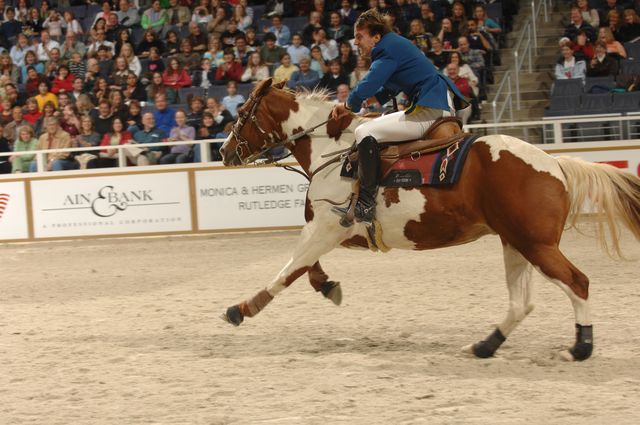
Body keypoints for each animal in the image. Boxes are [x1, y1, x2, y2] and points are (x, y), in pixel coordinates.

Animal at [219, 78, 640, 360]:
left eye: (242, 114)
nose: (224, 151)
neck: (335, 152)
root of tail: (555, 163)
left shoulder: (324, 228)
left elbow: (288, 271)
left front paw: (242, 308)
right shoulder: (326, 231)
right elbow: (307, 269)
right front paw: (327, 285)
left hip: (536, 245)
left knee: (577, 282)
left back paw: (580, 347)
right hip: (515, 243)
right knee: (522, 303)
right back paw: (485, 345)